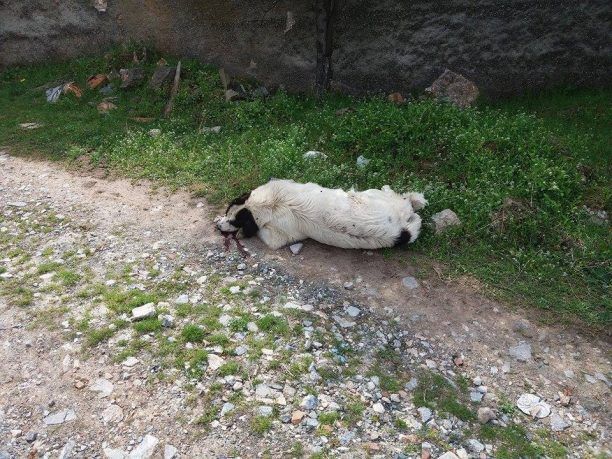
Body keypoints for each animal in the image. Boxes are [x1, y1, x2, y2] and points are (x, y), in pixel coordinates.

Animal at [215, 179, 427, 250]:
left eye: (235, 222)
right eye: (227, 213)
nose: (217, 226)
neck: (272, 203)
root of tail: (399, 228)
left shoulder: (276, 238)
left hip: (372, 194)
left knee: (403, 197)